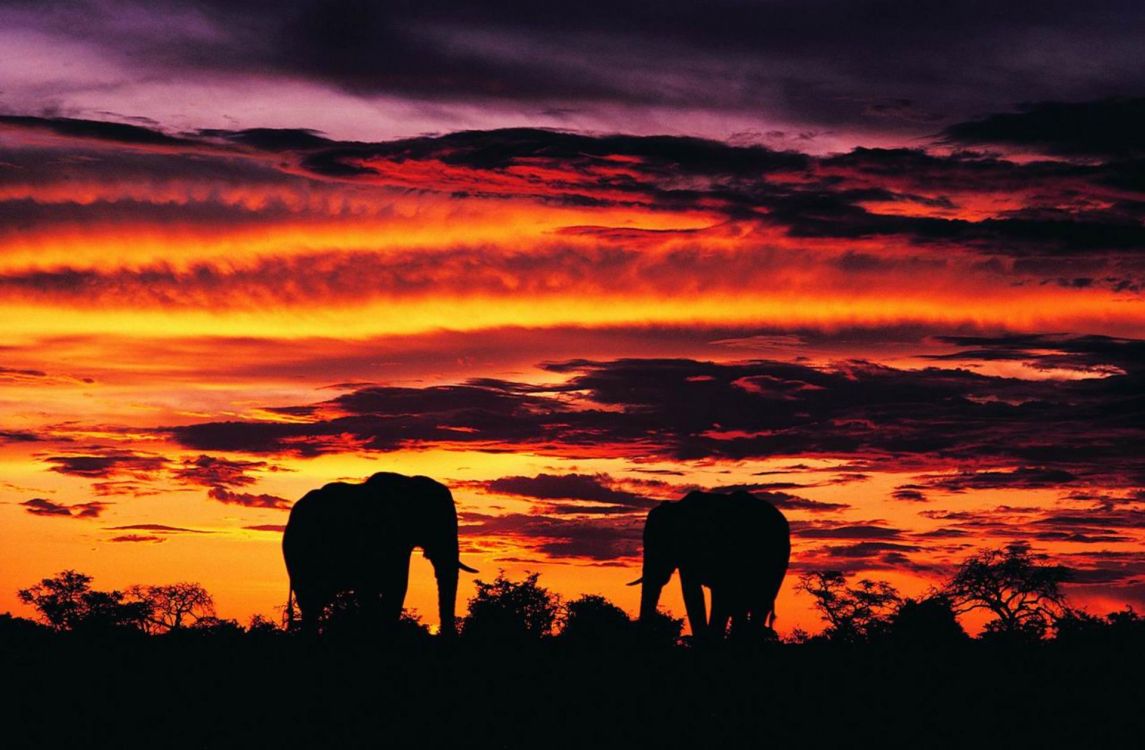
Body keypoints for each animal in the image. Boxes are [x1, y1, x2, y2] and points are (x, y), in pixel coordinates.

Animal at [283, 471, 476, 636]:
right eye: (436, 519)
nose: (449, 635)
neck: (409, 483)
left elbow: (396, 586)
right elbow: (387, 586)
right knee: (311, 601)